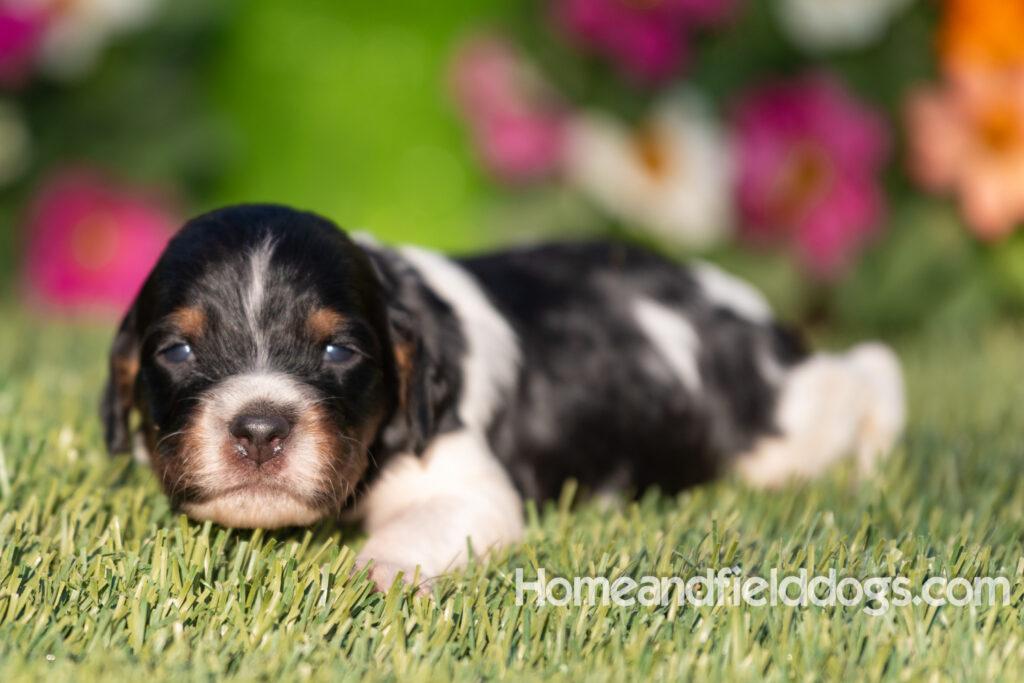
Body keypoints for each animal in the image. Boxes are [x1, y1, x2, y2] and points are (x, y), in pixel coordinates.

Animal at [101, 205, 905, 589]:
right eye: (177, 352)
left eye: (338, 352)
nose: (260, 429)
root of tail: (752, 313)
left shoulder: (466, 484)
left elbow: (420, 528)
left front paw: (377, 576)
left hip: (786, 427)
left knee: (870, 371)